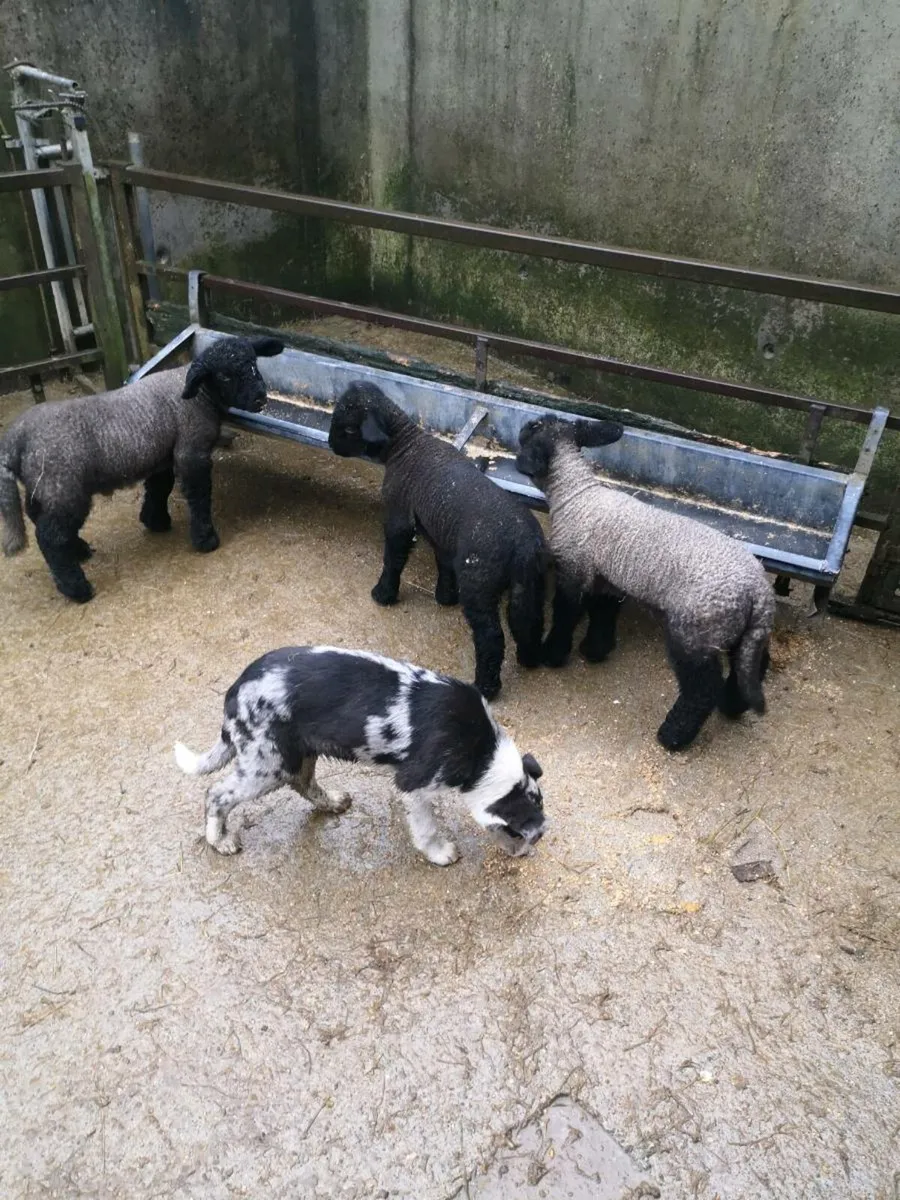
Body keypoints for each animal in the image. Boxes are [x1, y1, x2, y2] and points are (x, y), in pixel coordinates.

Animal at [0, 334, 284, 602]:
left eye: (253, 363)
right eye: (225, 375)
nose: (260, 397)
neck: (200, 395)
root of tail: (15, 437)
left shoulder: (163, 456)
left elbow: (159, 487)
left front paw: (154, 520)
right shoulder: (191, 452)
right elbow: (199, 496)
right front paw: (205, 539)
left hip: (45, 488)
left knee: (41, 520)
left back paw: (78, 551)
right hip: (64, 488)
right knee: (51, 537)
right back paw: (77, 588)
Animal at [328, 381, 553, 700]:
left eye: (347, 427)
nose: (330, 444)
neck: (404, 446)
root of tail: (523, 545)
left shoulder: (399, 515)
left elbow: (393, 558)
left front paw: (383, 594)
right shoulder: (439, 531)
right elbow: (443, 562)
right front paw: (445, 597)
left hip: (479, 579)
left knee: (491, 636)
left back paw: (486, 687)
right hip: (530, 581)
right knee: (529, 619)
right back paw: (529, 658)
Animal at [515, 416, 776, 750]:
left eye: (534, 428)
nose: (523, 424)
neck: (577, 496)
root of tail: (759, 592)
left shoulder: (574, 570)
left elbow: (565, 615)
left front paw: (553, 654)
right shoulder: (606, 580)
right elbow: (602, 614)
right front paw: (594, 651)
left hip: (694, 631)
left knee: (702, 688)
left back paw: (673, 735)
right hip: (741, 632)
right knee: (752, 665)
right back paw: (732, 707)